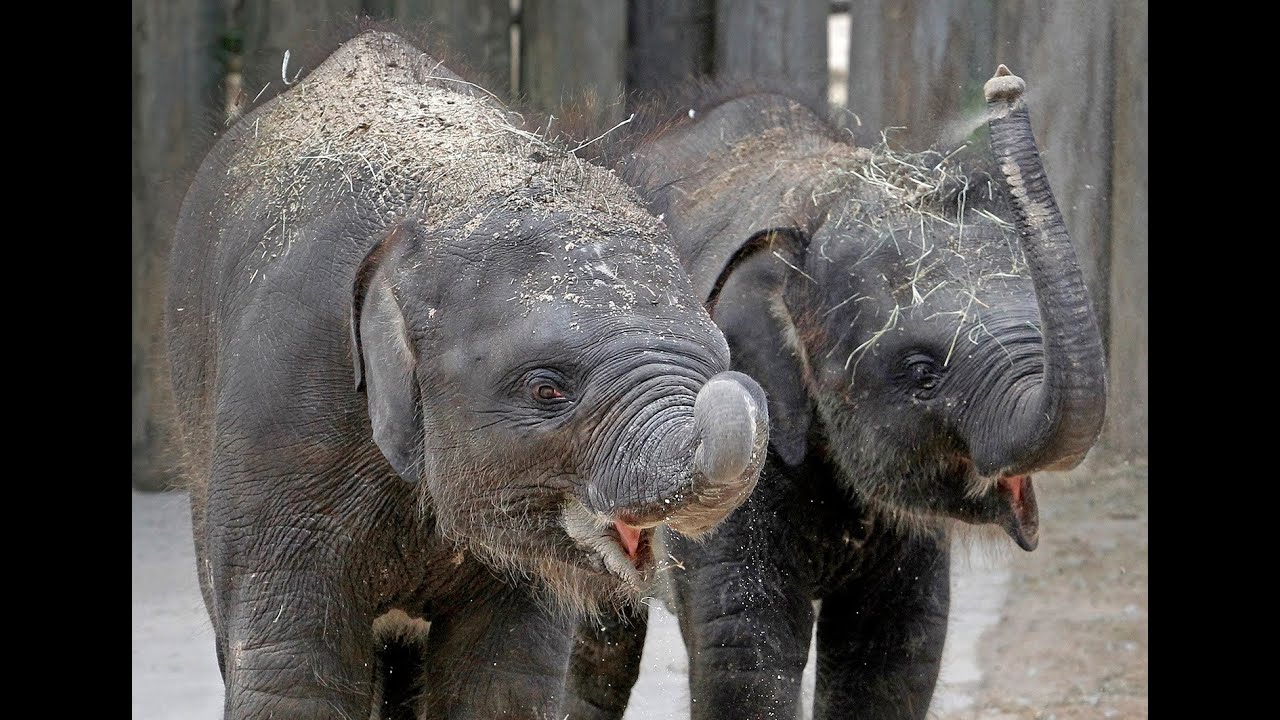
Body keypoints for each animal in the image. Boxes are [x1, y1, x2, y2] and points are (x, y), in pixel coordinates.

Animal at [564, 66, 1108, 719]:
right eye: (921, 372)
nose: (1003, 84)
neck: (812, 200)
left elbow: (893, 653)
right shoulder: (728, 438)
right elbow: (745, 645)